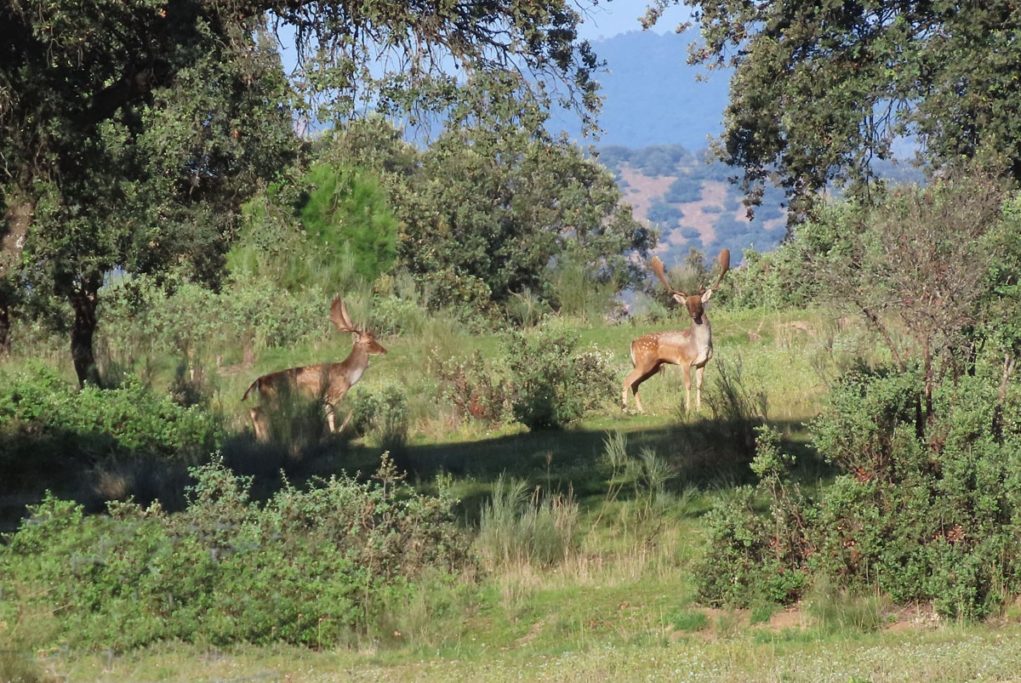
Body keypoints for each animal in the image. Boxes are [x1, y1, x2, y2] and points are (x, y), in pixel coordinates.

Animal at [239, 296, 385, 438]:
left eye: (374, 338)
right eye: (369, 342)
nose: (384, 350)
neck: (348, 376)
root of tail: (258, 381)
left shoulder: (324, 398)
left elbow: (330, 415)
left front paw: (331, 433)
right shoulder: (333, 393)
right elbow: (338, 413)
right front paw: (336, 432)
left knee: (255, 411)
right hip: (273, 398)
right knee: (257, 412)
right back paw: (263, 439)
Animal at [616, 249, 731, 412]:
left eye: (699, 303)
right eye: (687, 305)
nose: (694, 315)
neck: (699, 344)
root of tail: (632, 343)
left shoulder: (702, 362)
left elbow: (699, 384)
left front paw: (698, 408)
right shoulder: (684, 361)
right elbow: (688, 385)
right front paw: (688, 409)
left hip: (652, 366)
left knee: (635, 383)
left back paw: (642, 410)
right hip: (644, 362)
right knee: (626, 381)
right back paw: (626, 410)